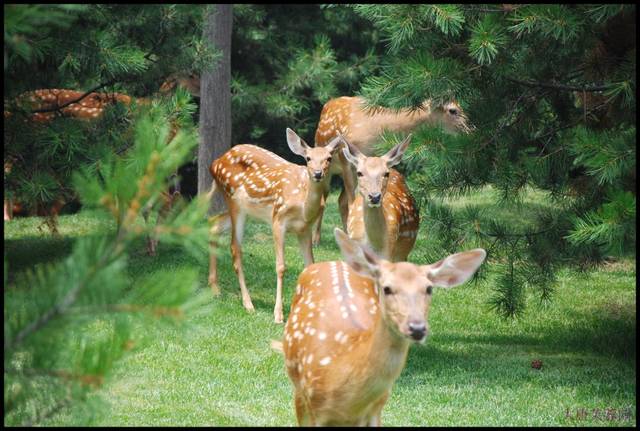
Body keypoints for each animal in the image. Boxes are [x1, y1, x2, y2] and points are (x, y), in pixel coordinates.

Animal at [209, 130, 344, 322]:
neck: (303, 207)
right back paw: (248, 303)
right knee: (235, 248)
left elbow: (310, 265)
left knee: (214, 224)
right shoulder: (278, 220)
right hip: (234, 201)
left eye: (329, 158)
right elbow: (280, 266)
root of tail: (215, 163)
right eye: (308, 158)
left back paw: (214, 288)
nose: (318, 173)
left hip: (248, 211)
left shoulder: (304, 229)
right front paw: (278, 314)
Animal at [282, 228, 488, 426]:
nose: (417, 328)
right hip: (298, 389)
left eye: (429, 289)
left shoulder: (377, 407)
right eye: (387, 288)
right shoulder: (313, 405)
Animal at [312, 98, 472, 246]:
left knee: (340, 199)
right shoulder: (347, 161)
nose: (470, 130)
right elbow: (352, 202)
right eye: (453, 110)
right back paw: (317, 240)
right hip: (325, 164)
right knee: (325, 197)